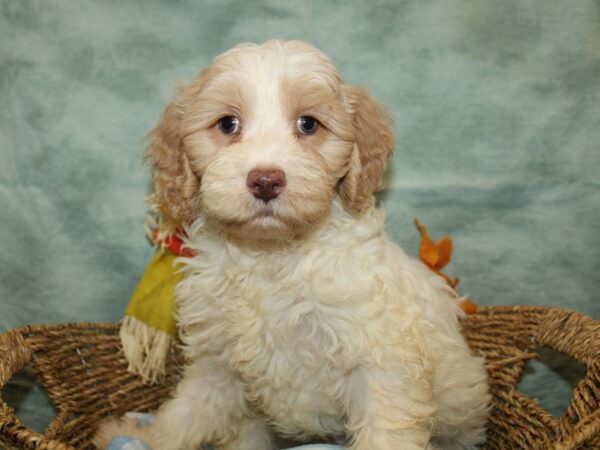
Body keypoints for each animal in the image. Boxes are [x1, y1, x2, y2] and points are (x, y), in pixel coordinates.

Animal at [94, 40, 488, 448]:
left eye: (308, 124)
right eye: (228, 124)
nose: (266, 180)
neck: (272, 254)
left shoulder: (381, 360)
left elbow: (385, 432)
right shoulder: (218, 365)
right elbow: (184, 415)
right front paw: (144, 436)